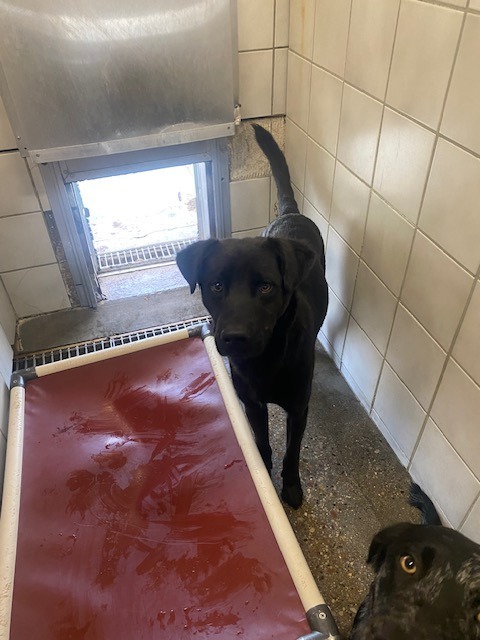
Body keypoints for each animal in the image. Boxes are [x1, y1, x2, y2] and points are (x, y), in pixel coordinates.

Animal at [176, 122, 330, 508]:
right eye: (215, 285)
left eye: (265, 287)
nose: (234, 338)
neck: (267, 357)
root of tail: (290, 212)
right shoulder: (252, 404)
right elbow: (261, 441)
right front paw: (261, 470)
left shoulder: (297, 409)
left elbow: (292, 452)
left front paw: (290, 487)